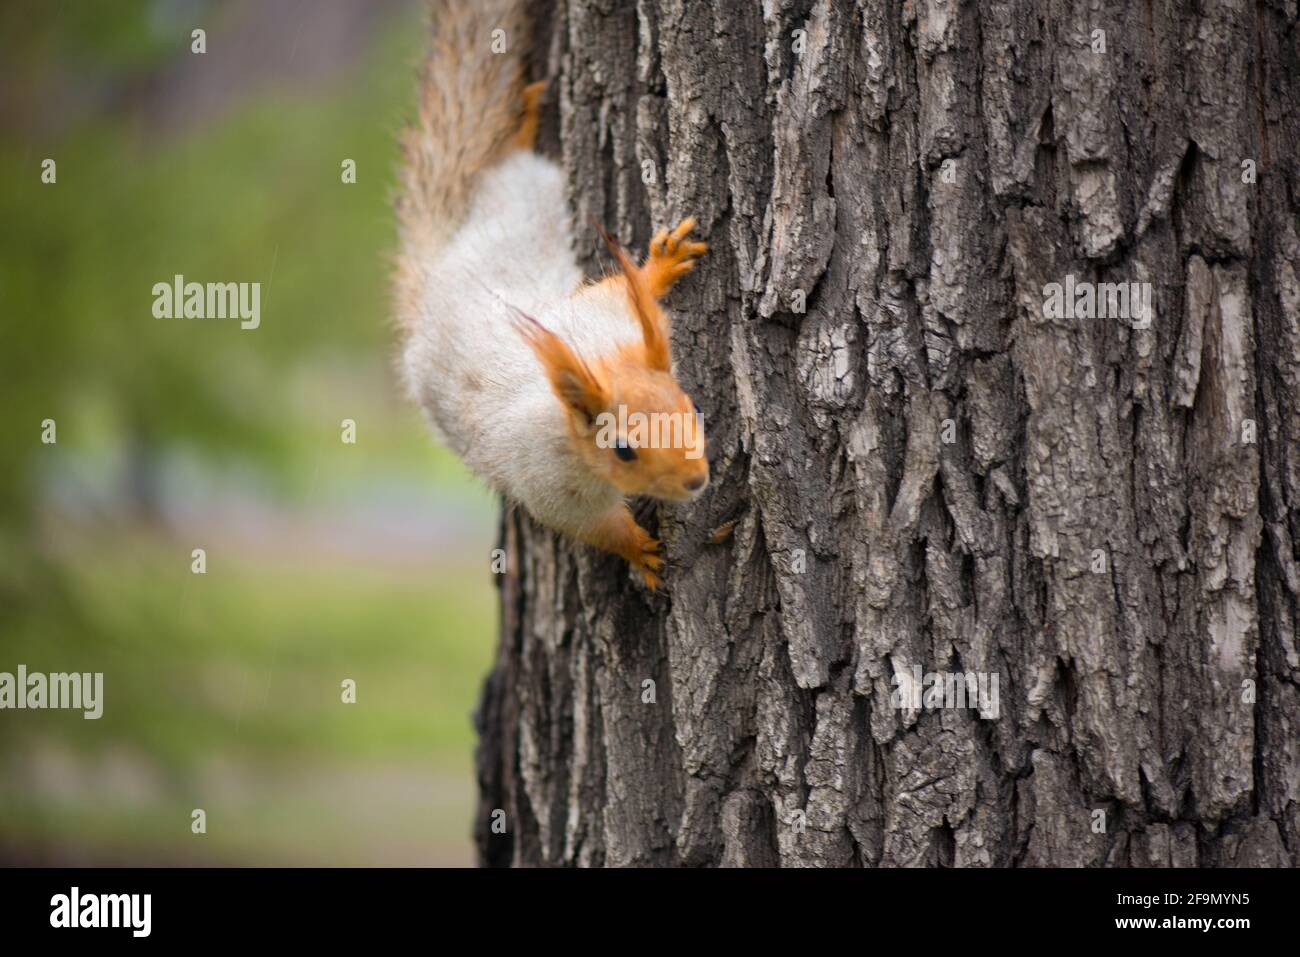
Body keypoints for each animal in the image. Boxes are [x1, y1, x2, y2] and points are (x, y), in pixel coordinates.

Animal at [393, 0, 709, 590]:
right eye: (623, 450)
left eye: (690, 407)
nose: (697, 481)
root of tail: (436, 276)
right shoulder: (548, 482)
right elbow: (594, 527)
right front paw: (640, 551)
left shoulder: (606, 319)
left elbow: (620, 289)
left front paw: (659, 267)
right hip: (519, 201)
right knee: (504, 164)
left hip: (523, 202)